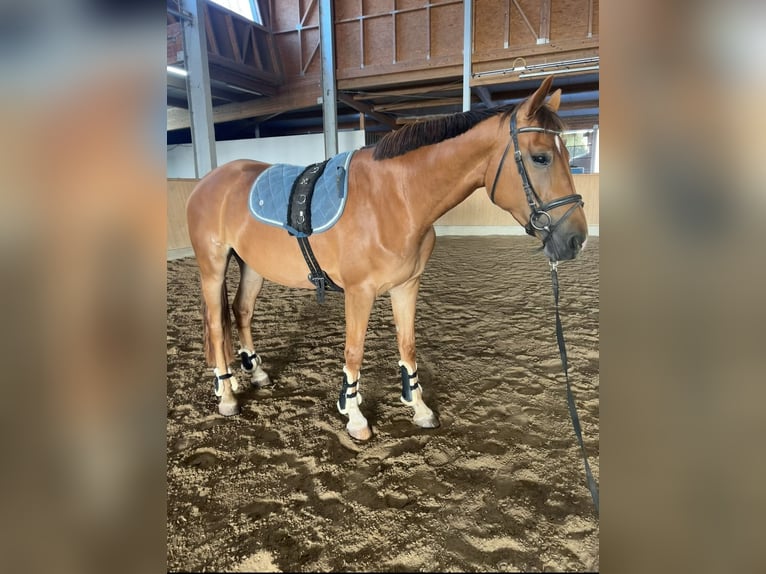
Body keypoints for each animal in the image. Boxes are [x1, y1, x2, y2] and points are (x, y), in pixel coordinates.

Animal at [185, 76, 587, 441]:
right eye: (541, 157)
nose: (575, 239)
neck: (395, 197)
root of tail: (207, 181)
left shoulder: (407, 286)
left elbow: (407, 345)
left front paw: (419, 407)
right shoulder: (358, 293)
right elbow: (354, 352)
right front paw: (354, 416)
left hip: (252, 266)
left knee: (241, 311)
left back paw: (255, 373)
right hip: (213, 267)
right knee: (216, 324)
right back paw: (226, 394)